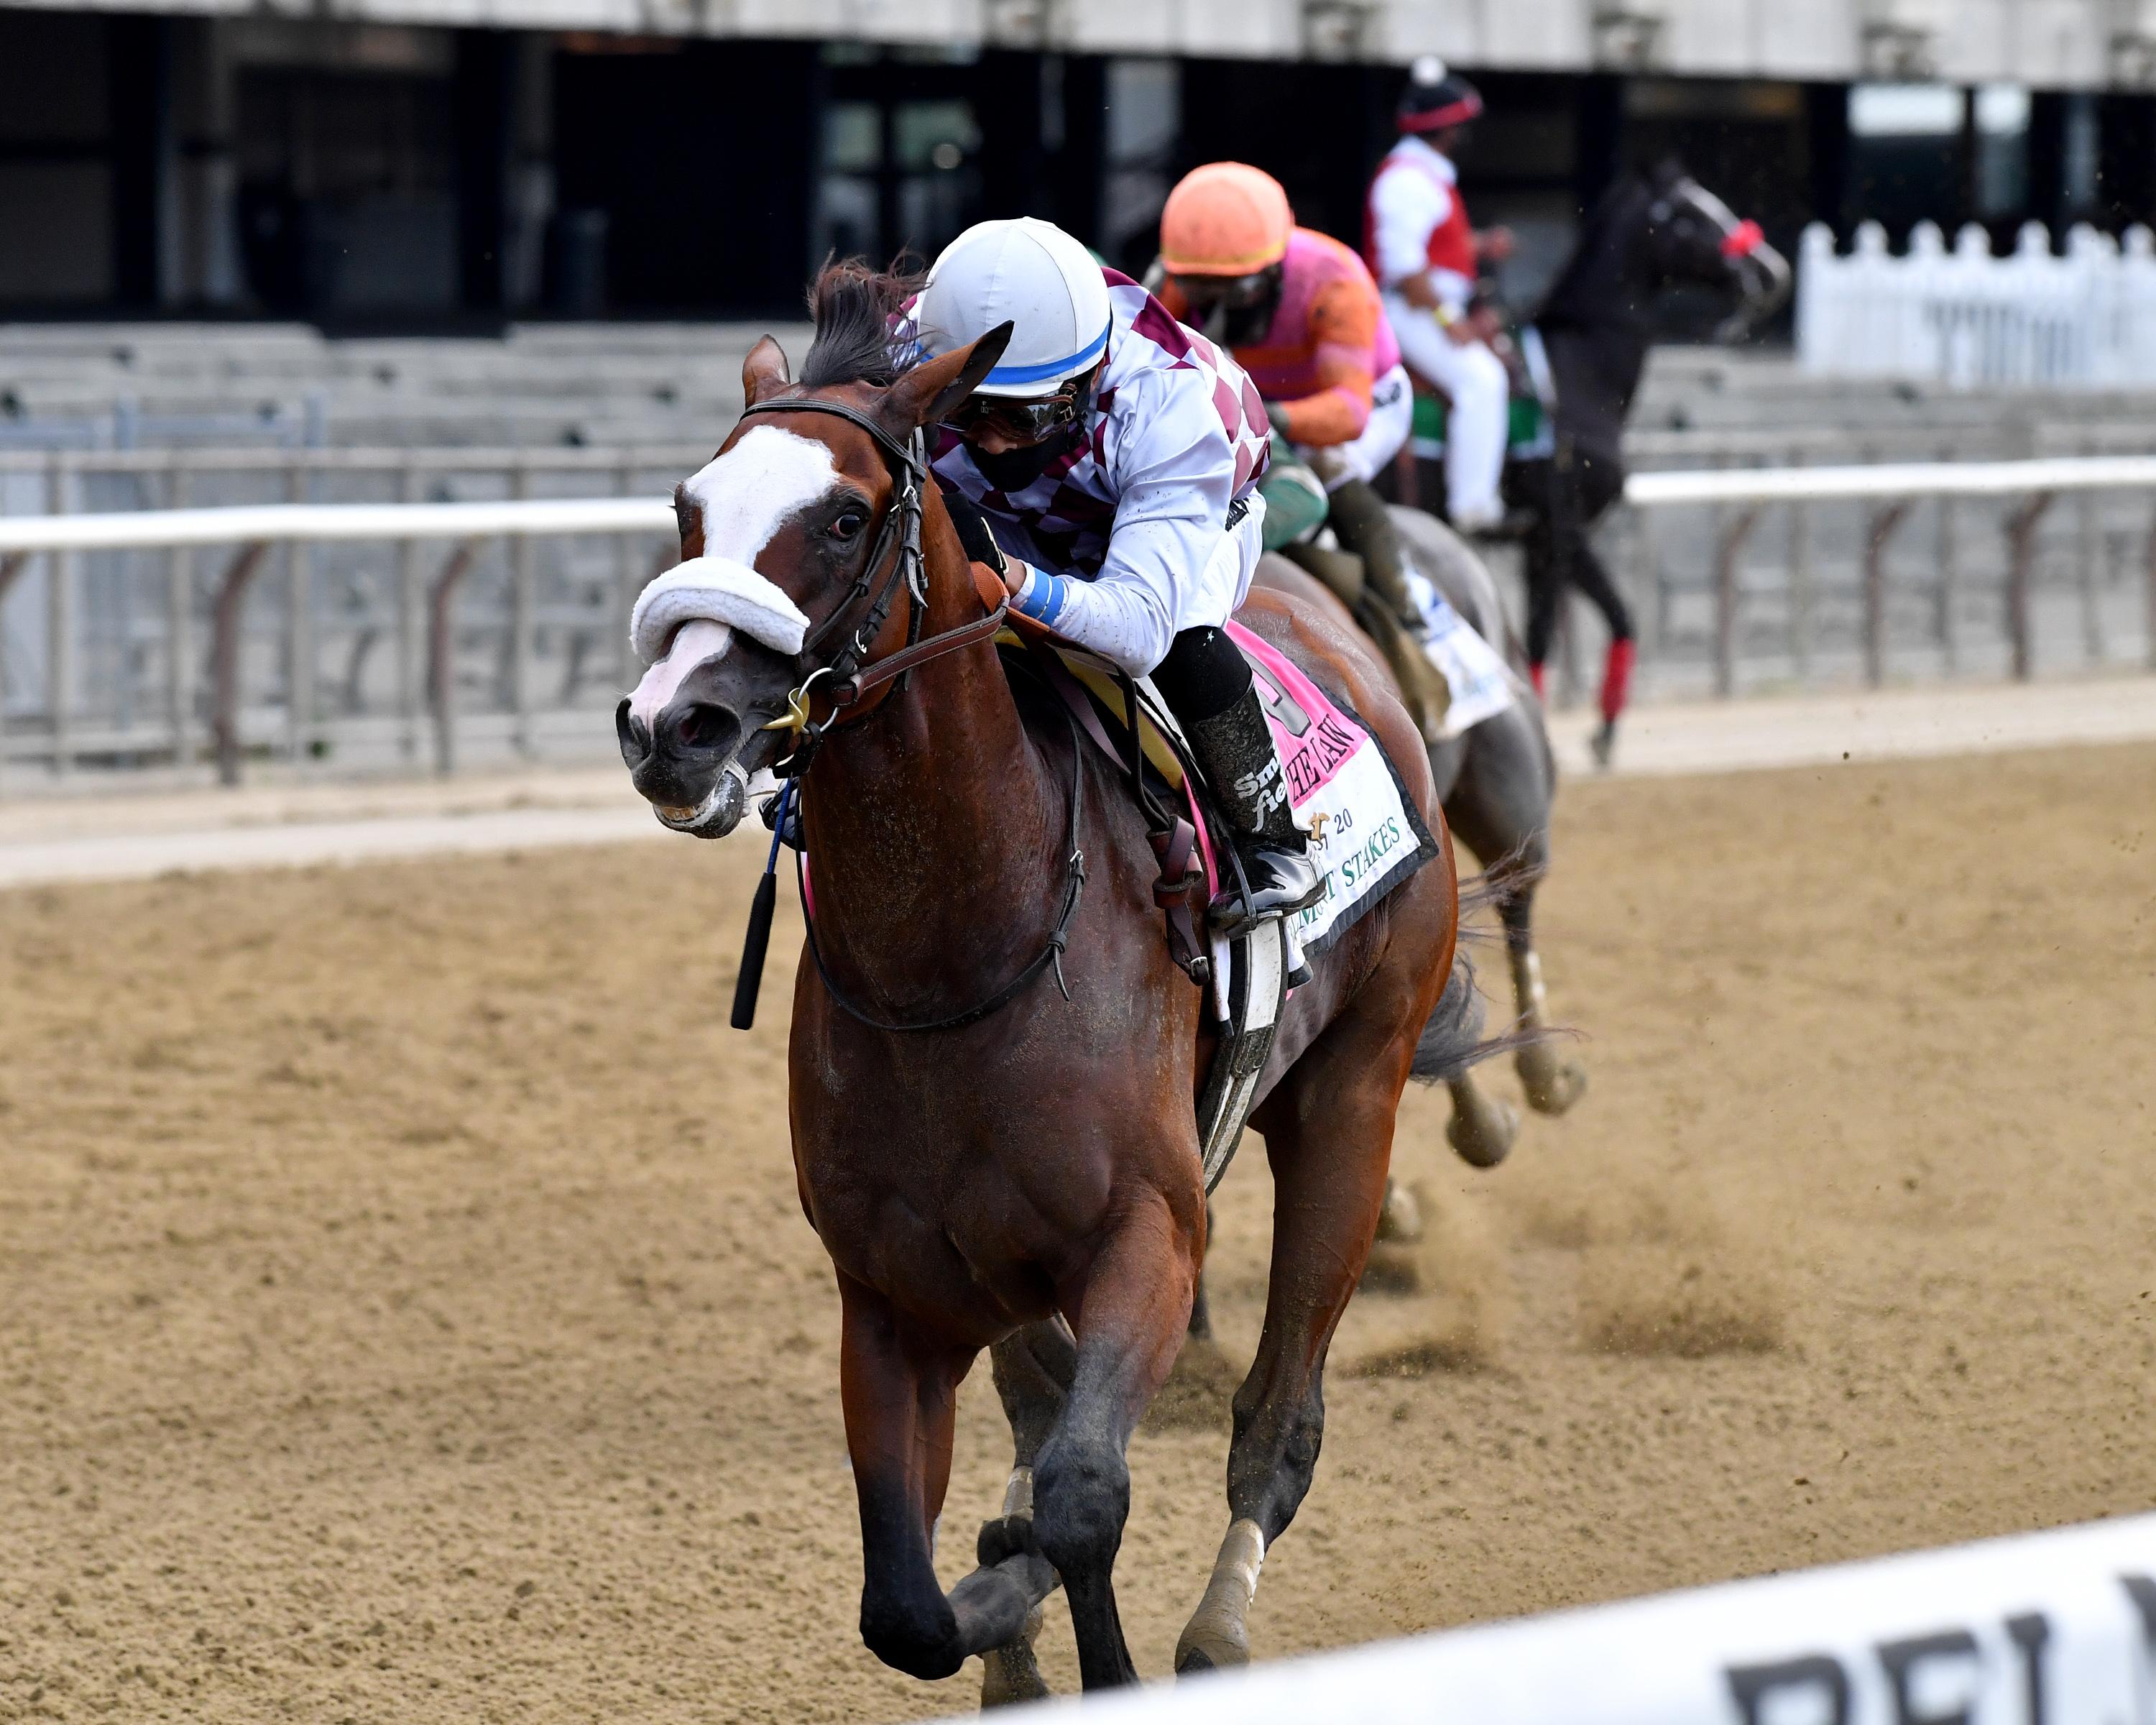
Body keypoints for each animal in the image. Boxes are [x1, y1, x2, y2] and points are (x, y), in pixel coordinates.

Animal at [612, 272, 1501, 1699]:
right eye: (692, 507)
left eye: (847, 516)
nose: (671, 728)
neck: (961, 954)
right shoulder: (898, 1288)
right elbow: (906, 1602)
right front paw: (999, 1605)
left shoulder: (1149, 1234)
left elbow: (1086, 1492)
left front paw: (1042, 1599)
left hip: (1352, 1098)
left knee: (1280, 1420)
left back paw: (1217, 1626)